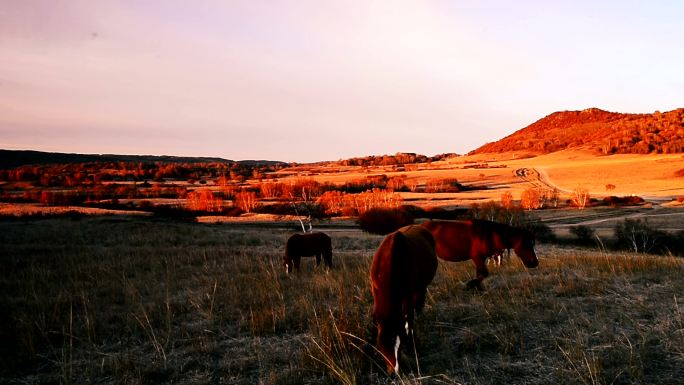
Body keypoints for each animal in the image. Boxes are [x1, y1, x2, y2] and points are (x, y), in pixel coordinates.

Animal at [368, 222, 438, 372]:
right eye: (380, 346)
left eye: (398, 344)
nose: (395, 371)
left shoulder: (408, 294)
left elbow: (409, 317)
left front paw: (413, 343)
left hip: (420, 287)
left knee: (418, 304)